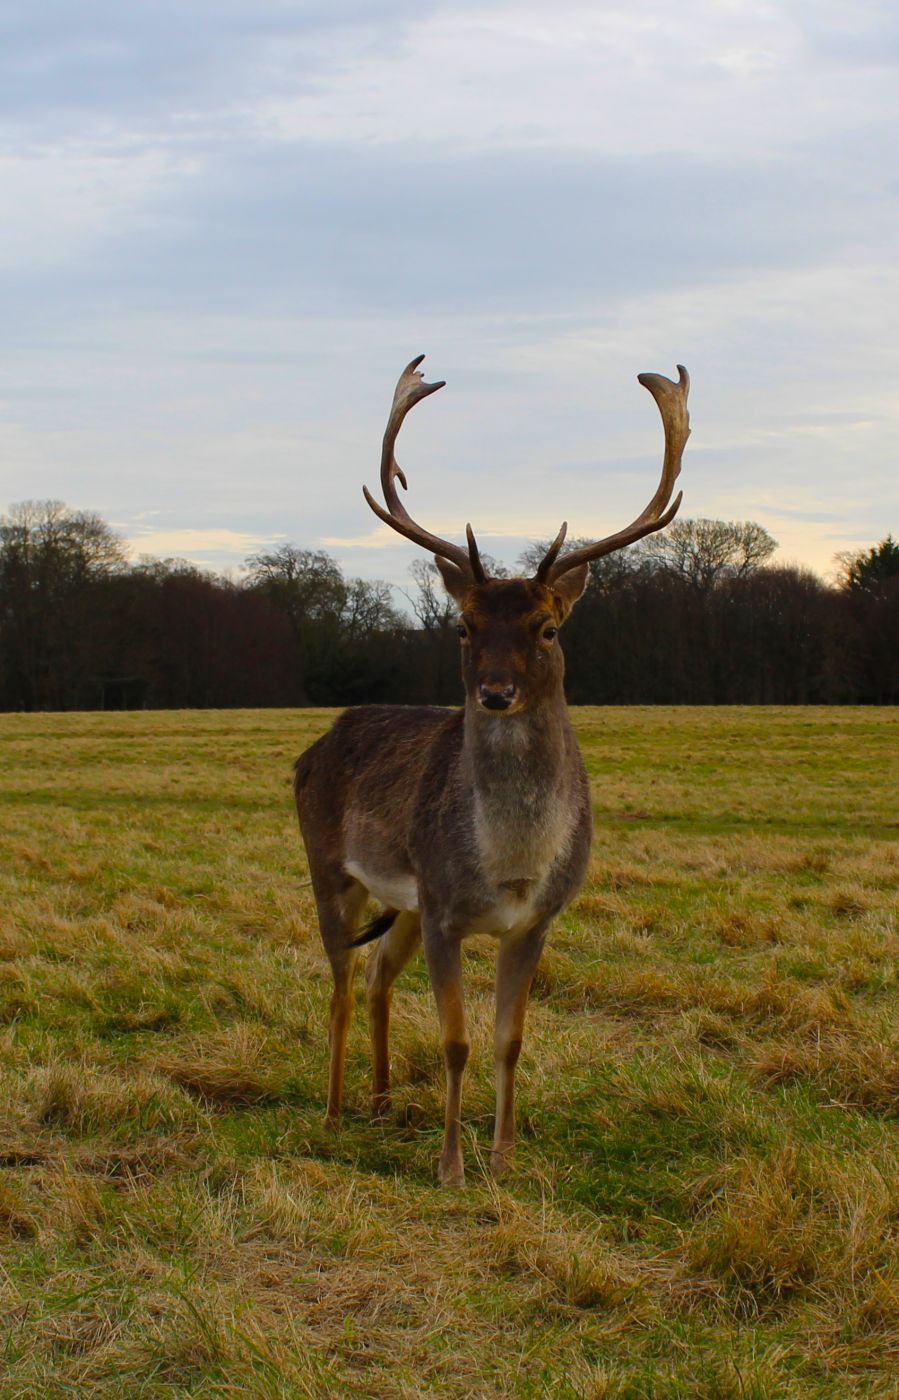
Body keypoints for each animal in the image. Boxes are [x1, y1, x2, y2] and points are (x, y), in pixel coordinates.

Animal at [294, 354, 690, 1186]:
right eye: (463, 626)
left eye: (546, 627)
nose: (496, 693)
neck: (510, 867)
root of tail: (316, 744)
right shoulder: (446, 909)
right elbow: (455, 1041)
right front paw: (450, 1166)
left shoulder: (533, 919)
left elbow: (509, 1039)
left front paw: (503, 1155)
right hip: (328, 866)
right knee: (340, 983)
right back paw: (337, 1110)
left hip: (403, 901)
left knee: (376, 979)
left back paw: (382, 1102)